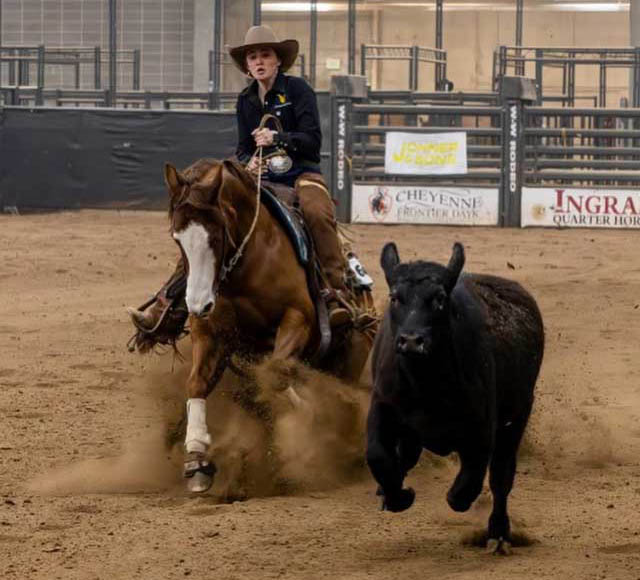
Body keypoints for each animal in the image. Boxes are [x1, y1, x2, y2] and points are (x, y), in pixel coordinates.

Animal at [164, 157, 376, 493]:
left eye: (216, 235)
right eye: (177, 238)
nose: (197, 305)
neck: (248, 264)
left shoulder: (299, 317)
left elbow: (275, 374)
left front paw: (310, 416)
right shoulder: (209, 332)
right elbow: (197, 383)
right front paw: (196, 458)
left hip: (354, 352)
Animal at [366, 241, 544, 555]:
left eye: (439, 298)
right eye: (394, 297)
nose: (411, 341)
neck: (425, 383)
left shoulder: (483, 428)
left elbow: (467, 484)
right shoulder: (382, 406)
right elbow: (377, 455)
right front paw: (396, 495)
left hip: (519, 415)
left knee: (501, 476)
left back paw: (498, 533)